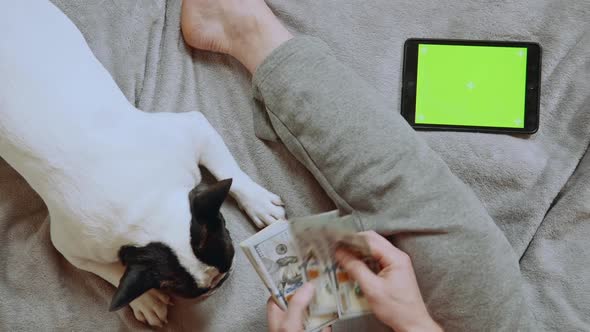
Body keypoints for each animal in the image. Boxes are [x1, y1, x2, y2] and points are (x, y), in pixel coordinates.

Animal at [0, 0, 286, 326]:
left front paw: (259, 203)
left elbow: (230, 172)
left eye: (223, 228)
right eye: (185, 289)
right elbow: (111, 271)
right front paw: (146, 299)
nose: (219, 281)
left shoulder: (192, 130)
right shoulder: (73, 246)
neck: (146, 207)